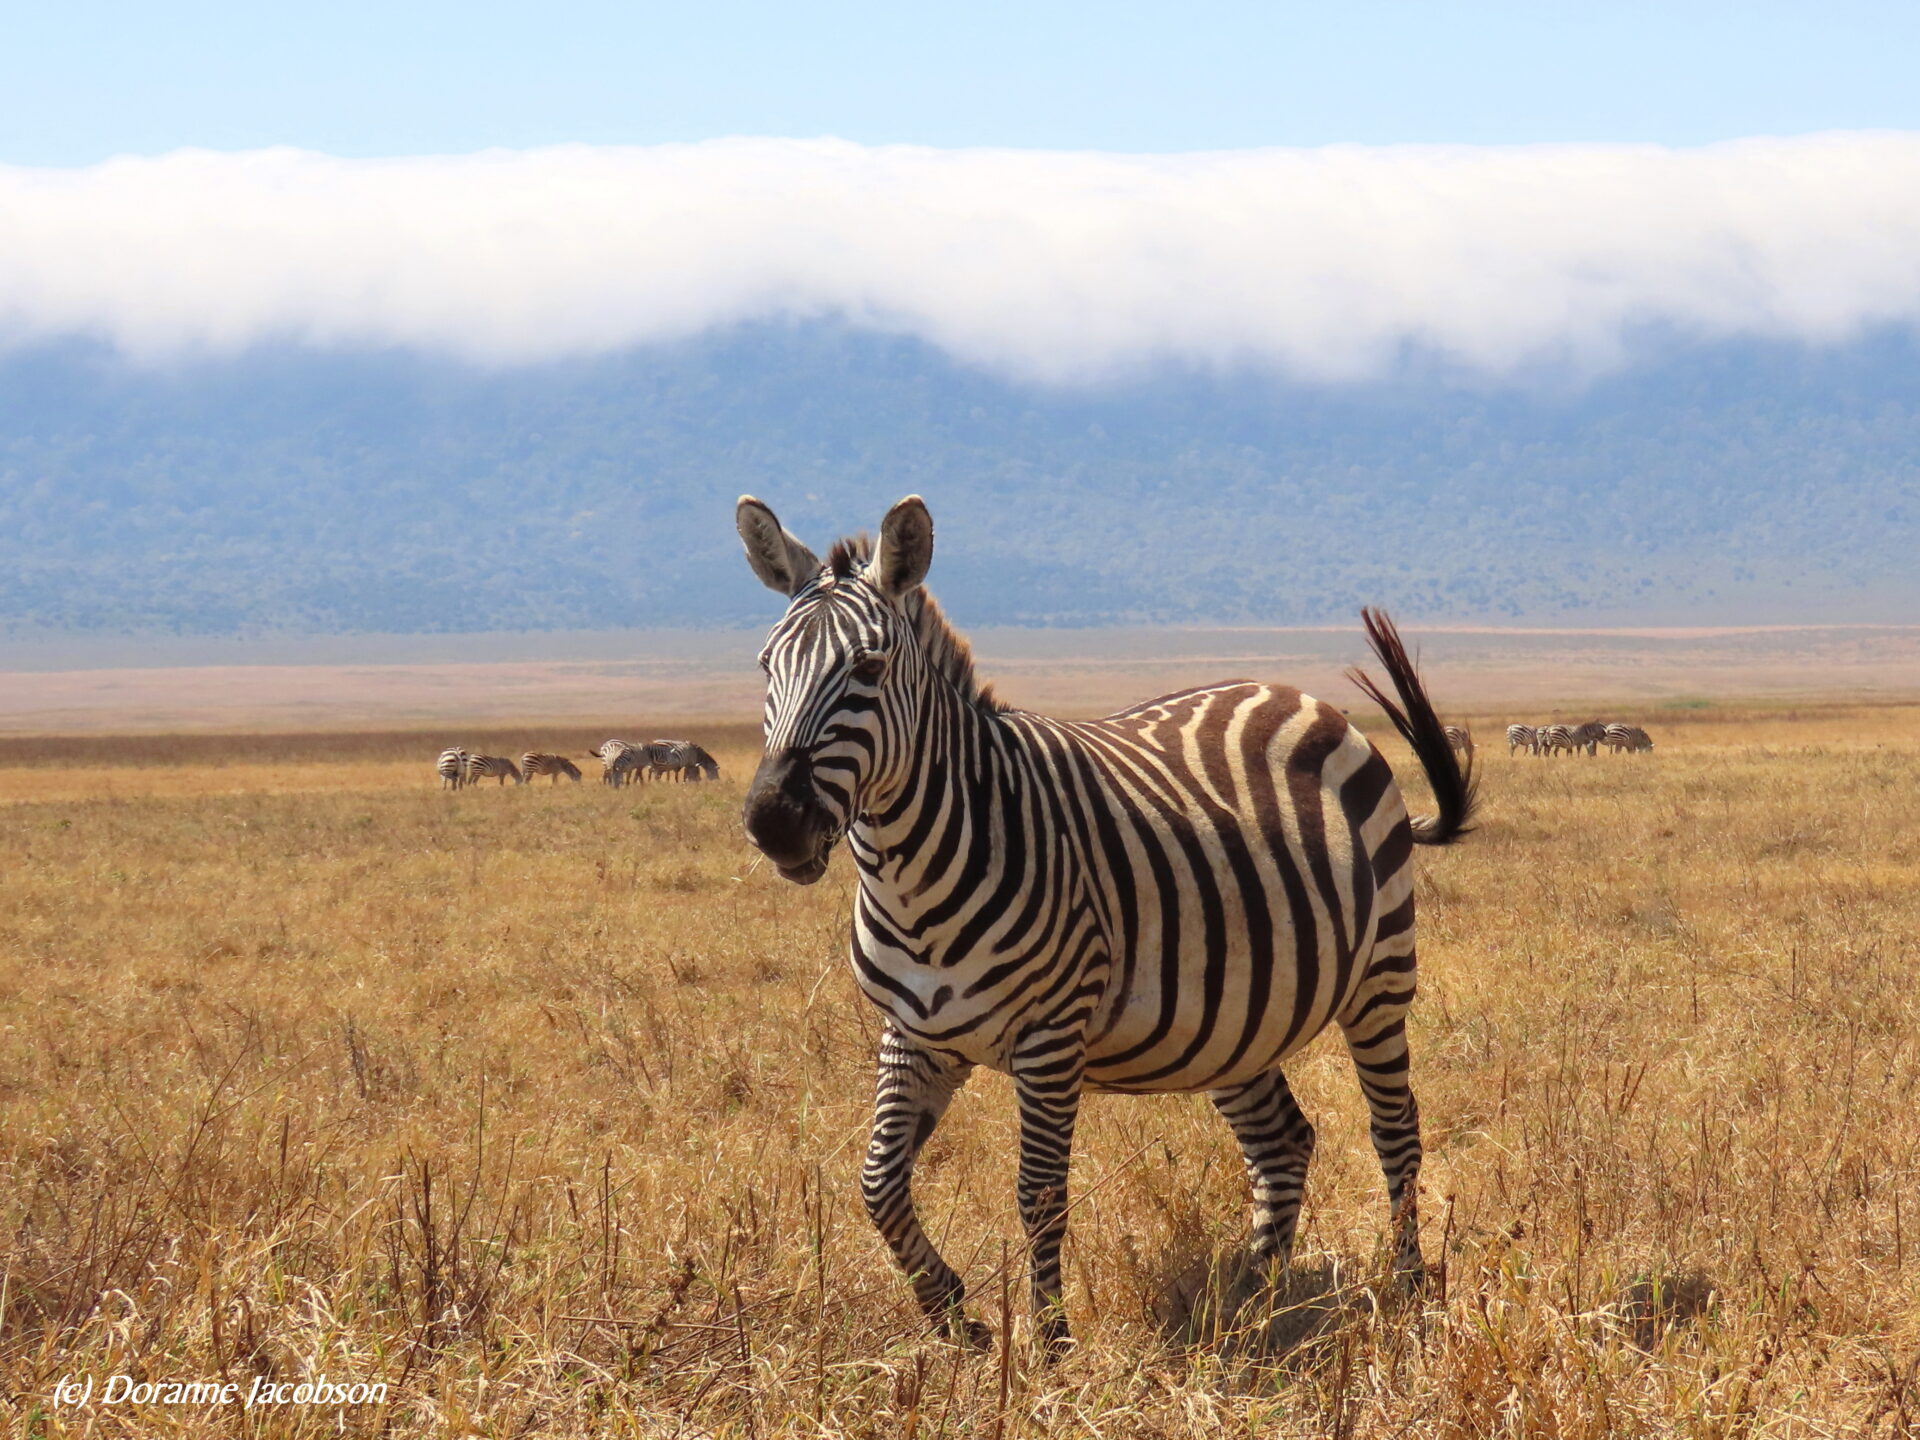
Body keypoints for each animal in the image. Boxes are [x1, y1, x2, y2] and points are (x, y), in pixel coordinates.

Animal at [737, 495, 1475, 1355]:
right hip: (1234, 1018)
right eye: (765, 667)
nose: (773, 821)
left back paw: (1405, 1287)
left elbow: (1038, 1193)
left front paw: (1050, 1346)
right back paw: (1250, 1301)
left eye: (869, 669)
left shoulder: (1051, 1038)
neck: (911, 880)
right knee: (1283, 1141)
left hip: (1381, 979)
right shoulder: (915, 1032)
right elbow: (877, 1182)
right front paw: (956, 1316)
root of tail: (1296, 694)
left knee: (1395, 1129)